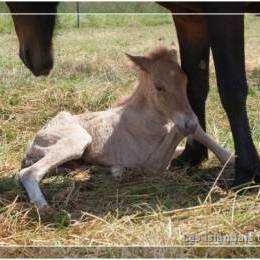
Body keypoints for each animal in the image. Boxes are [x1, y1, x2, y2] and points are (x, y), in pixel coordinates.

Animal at [18, 46, 234, 209]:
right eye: (159, 87)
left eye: (185, 81)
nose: (190, 121)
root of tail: (33, 142)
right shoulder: (152, 164)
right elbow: (180, 130)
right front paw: (229, 157)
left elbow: (193, 133)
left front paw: (229, 157)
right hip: (76, 141)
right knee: (28, 173)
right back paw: (44, 208)